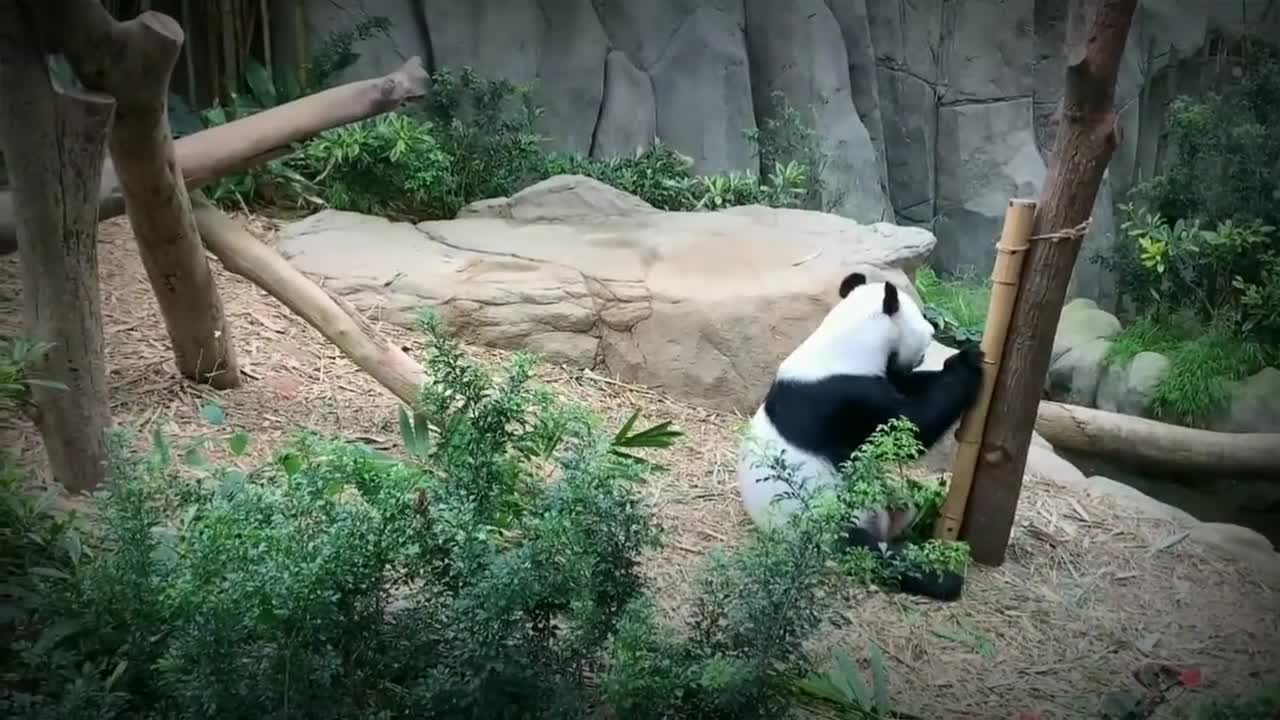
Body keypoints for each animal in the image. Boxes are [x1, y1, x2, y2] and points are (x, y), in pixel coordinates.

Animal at [737, 271, 983, 597]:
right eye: (927, 330)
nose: (930, 338)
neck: (844, 343)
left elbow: (909, 390)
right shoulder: (844, 396)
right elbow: (908, 428)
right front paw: (967, 364)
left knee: (906, 503)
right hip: (828, 519)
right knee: (869, 551)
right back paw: (940, 578)